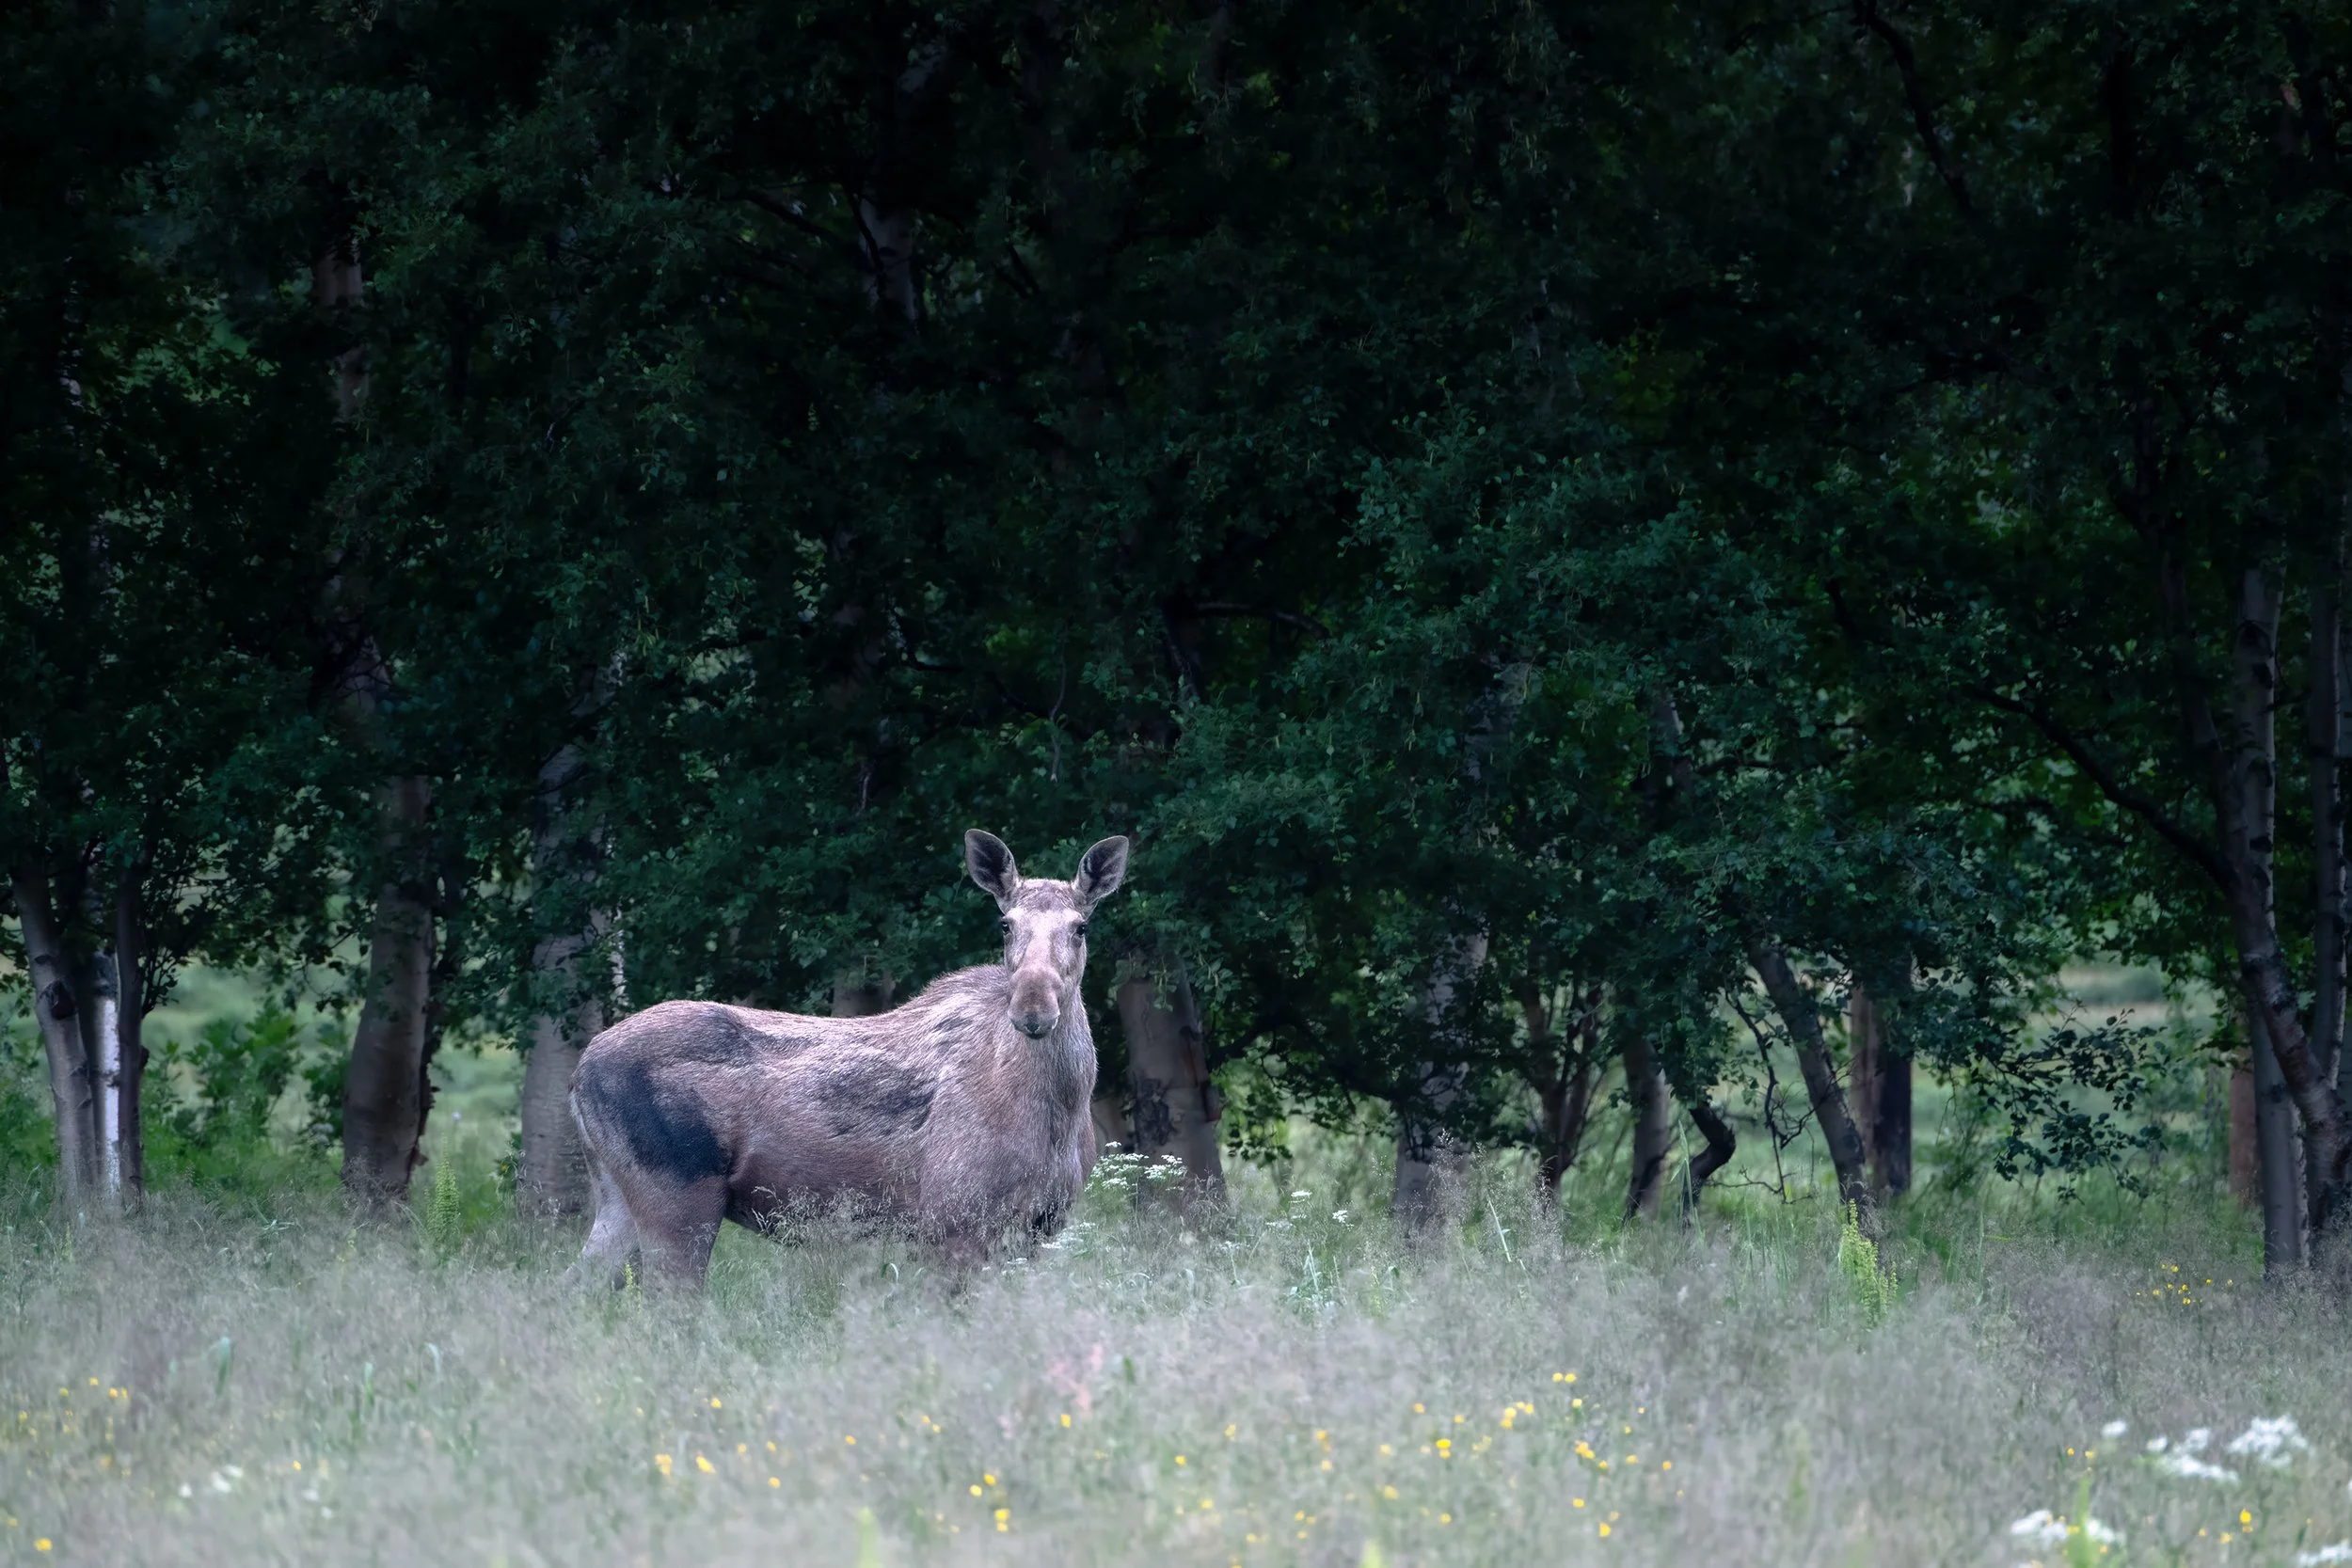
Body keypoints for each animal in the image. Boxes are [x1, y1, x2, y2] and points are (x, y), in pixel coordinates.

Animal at [568, 830, 1127, 1286]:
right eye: (1004, 924)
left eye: (1081, 927)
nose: (1033, 1008)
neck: (1059, 1112)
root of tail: (577, 1074)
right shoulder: (954, 1223)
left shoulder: (1041, 1229)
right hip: (678, 1195)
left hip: (617, 1197)